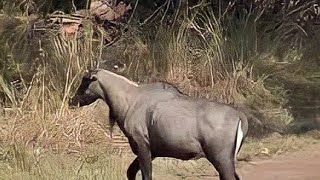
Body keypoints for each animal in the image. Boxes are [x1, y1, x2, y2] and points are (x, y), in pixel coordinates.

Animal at [70, 68, 249, 179]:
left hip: (221, 159)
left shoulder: (142, 146)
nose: (72, 100)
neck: (129, 99)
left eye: (85, 80)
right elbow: (130, 172)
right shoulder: (152, 151)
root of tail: (241, 116)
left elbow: (146, 175)